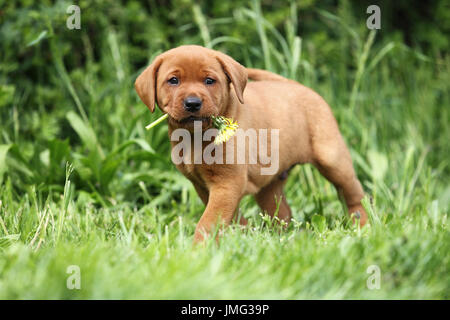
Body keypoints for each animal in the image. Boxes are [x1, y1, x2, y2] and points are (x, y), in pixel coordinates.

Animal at [135, 43, 368, 241]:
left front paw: (199, 249)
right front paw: (242, 234)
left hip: (332, 158)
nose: (193, 103)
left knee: (355, 196)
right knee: (281, 211)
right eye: (173, 81)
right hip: (270, 183)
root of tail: (297, 85)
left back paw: (362, 226)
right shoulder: (203, 185)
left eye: (209, 81)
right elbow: (229, 216)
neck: (195, 136)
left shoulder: (227, 182)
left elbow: (208, 221)